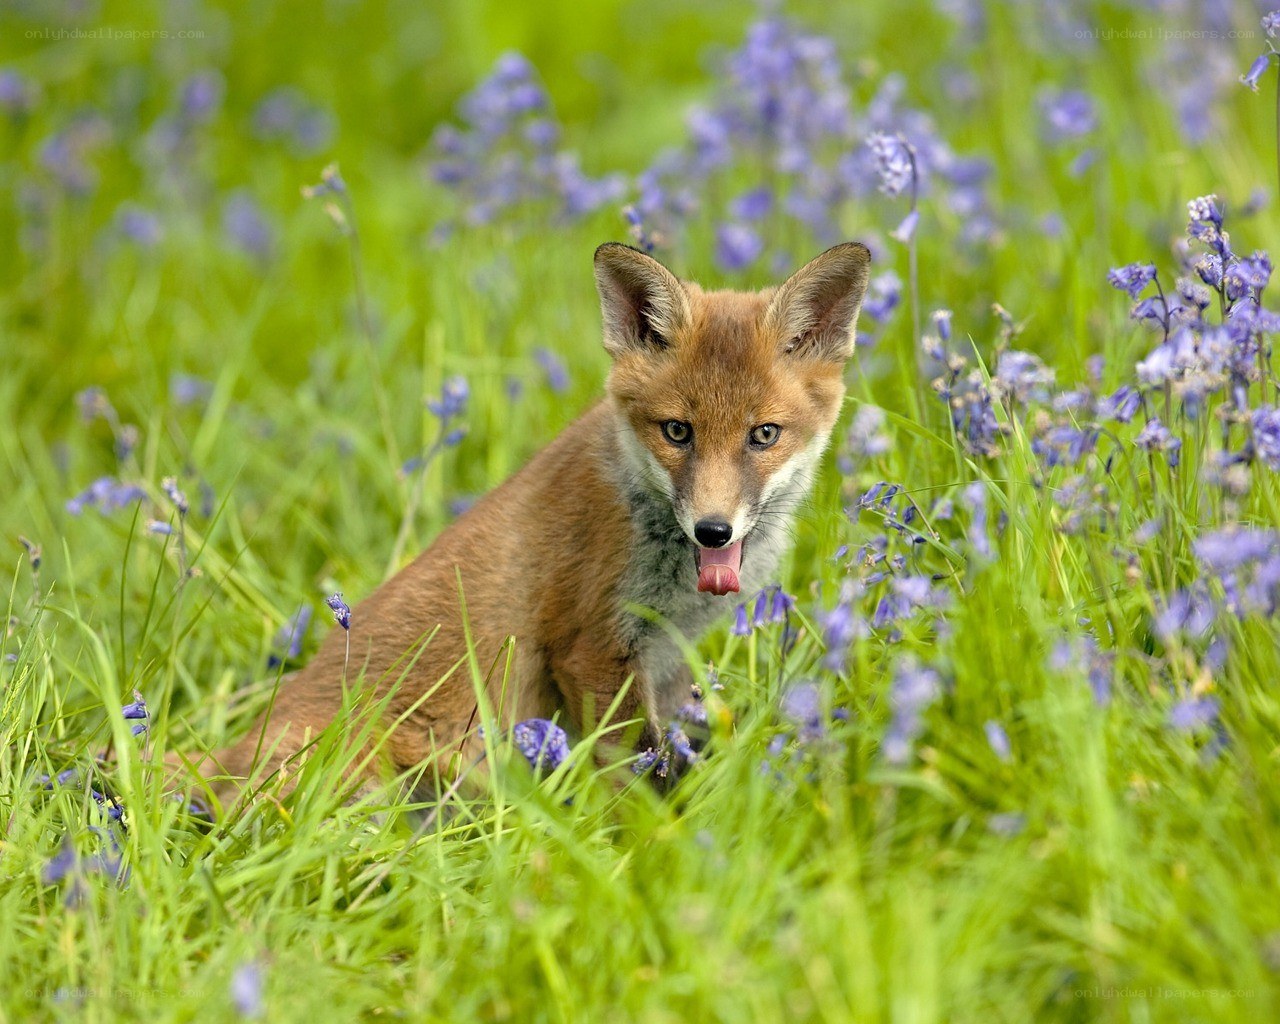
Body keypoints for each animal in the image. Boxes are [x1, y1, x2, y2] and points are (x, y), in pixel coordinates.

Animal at [174, 240, 871, 806]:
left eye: (763, 436)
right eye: (678, 431)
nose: (713, 531)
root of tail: (232, 752)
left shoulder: (668, 662)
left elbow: (671, 753)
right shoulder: (591, 648)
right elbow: (635, 775)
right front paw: (647, 843)